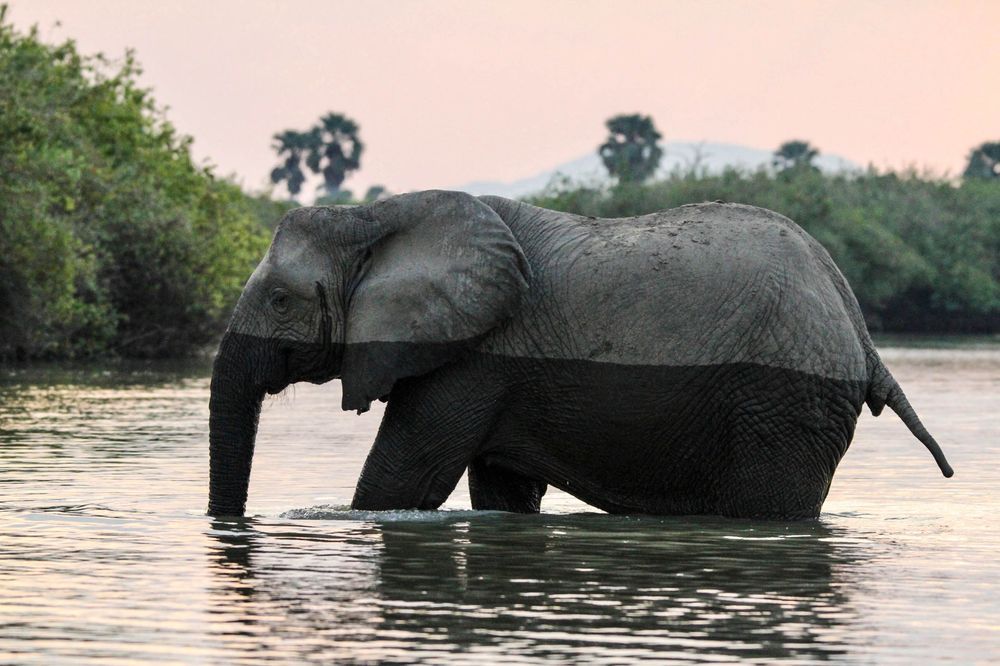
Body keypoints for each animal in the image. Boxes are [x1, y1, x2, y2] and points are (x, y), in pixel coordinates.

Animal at [209, 189, 952, 516]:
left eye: (280, 299)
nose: (228, 525)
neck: (380, 214)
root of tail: (857, 323)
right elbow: (500, 492)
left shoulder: (477, 358)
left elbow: (402, 480)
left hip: (782, 403)